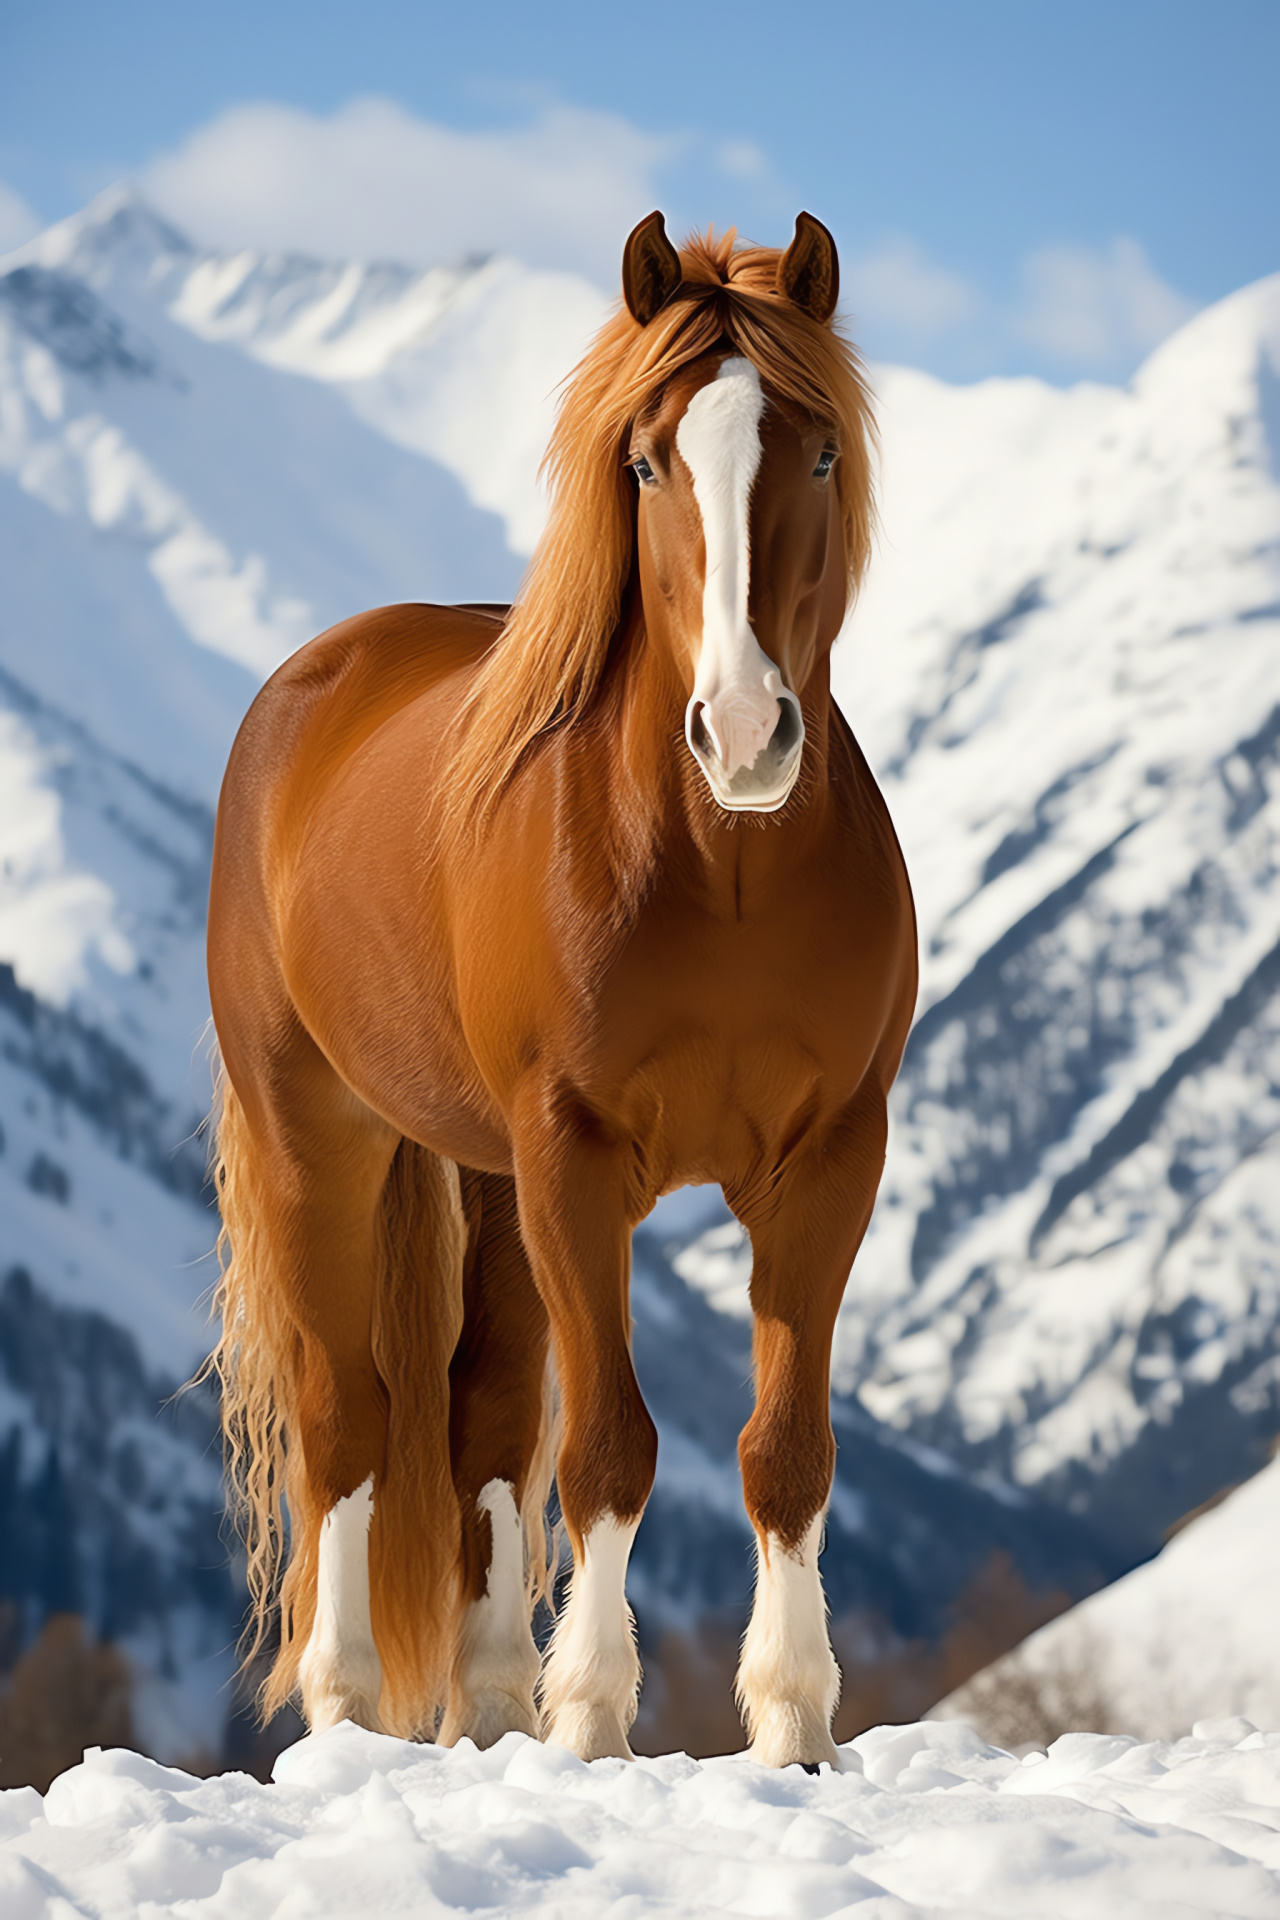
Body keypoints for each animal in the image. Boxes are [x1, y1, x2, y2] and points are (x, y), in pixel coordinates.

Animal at [208, 210, 909, 1766]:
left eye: (819, 452)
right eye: (647, 462)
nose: (747, 733)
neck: (723, 870)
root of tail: (309, 682)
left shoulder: (830, 1160)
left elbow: (785, 1449)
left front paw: (792, 1726)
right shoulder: (577, 1157)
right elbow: (607, 1446)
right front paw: (591, 1719)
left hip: (486, 1177)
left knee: (475, 1416)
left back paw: (480, 1709)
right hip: (319, 1135)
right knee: (347, 1421)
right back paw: (349, 1710)